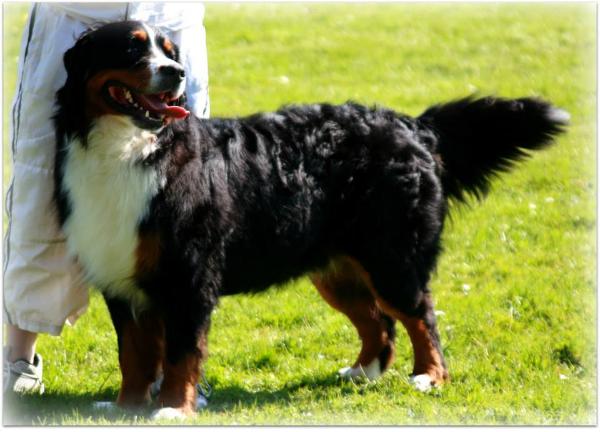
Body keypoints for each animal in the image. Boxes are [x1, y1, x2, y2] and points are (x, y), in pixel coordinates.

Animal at [52, 20, 568, 418]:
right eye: (133, 47)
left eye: (171, 53)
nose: (176, 73)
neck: (131, 149)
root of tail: (410, 125)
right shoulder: (121, 276)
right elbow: (135, 355)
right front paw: (126, 406)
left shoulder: (189, 275)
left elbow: (181, 354)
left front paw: (173, 409)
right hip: (338, 269)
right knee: (379, 322)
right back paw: (362, 372)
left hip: (392, 256)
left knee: (420, 315)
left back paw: (429, 377)